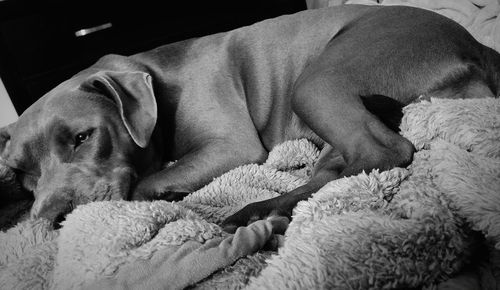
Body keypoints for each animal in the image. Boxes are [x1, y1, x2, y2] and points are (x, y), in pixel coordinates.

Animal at [0, 4, 498, 229]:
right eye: (21, 172)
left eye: (83, 137)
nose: (52, 218)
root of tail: (475, 45)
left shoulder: (229, 146)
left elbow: (144, 183)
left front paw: (166, 193)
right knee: (338, 168)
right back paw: (262, 210)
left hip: (317, 82)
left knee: (383, 152)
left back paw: (254, 211)